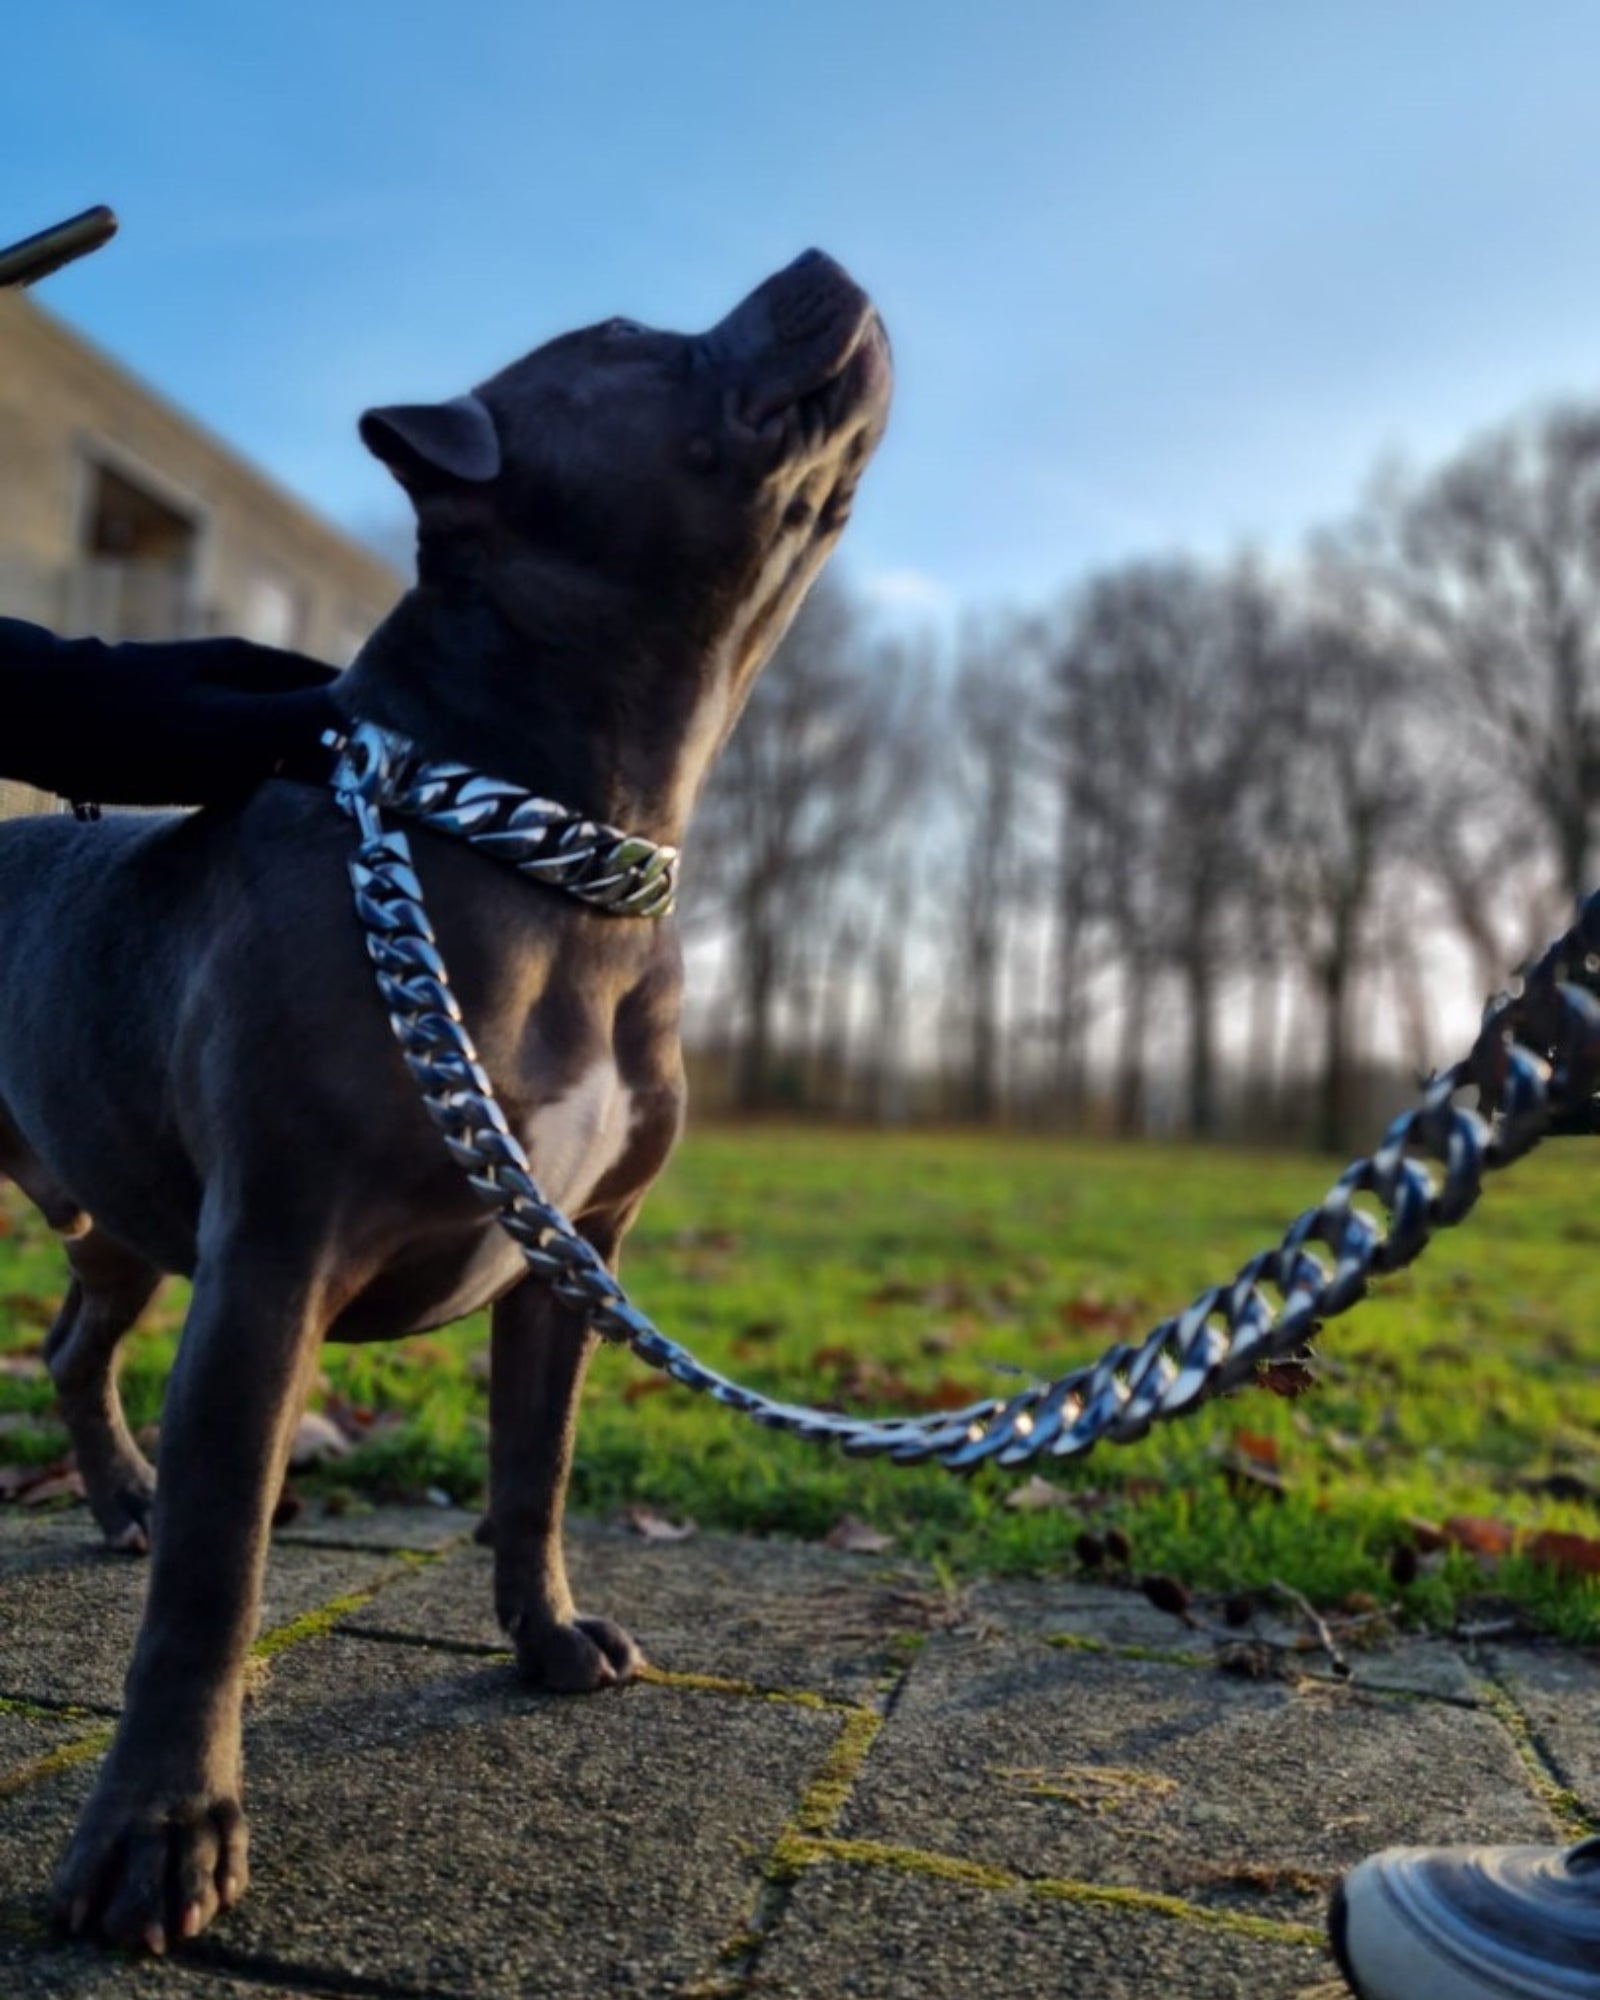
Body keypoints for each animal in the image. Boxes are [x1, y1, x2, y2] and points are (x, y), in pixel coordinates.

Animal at [0, 250, 888, 1952]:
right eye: (629, 341)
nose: (821, 260)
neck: (544, 846)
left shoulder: (572, 1257)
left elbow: (534, 1472)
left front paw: (544, 1641)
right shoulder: (270, 1264)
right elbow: (216, 1577)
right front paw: (160, 1831)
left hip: (118, 1208)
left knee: (78, 1343)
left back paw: (121, 1496)